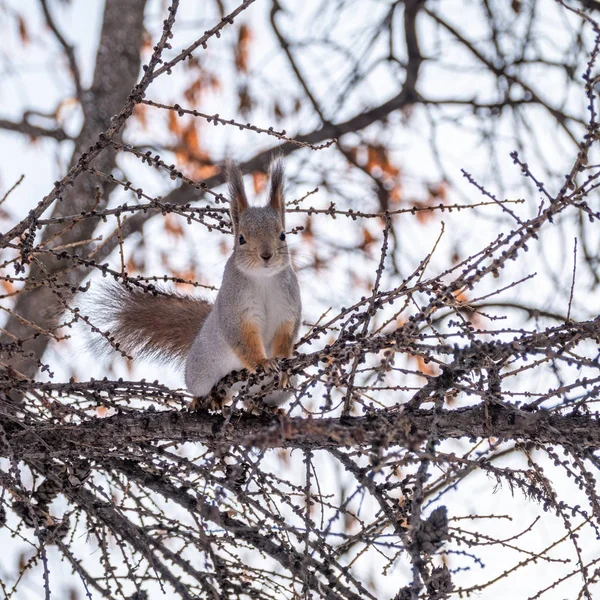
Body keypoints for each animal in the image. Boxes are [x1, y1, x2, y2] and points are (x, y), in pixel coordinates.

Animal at [96, 158, 302, 408]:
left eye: (282, 235)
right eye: (241, 239)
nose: (266, 255)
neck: (263, 279)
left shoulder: (288, 308)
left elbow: (286, 337)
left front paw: (283, 368)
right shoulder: (235, 308)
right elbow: (242, 338)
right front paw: (263, 363)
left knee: (256, 400)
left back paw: (262, 407)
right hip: (201, 372)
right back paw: (205, 398)